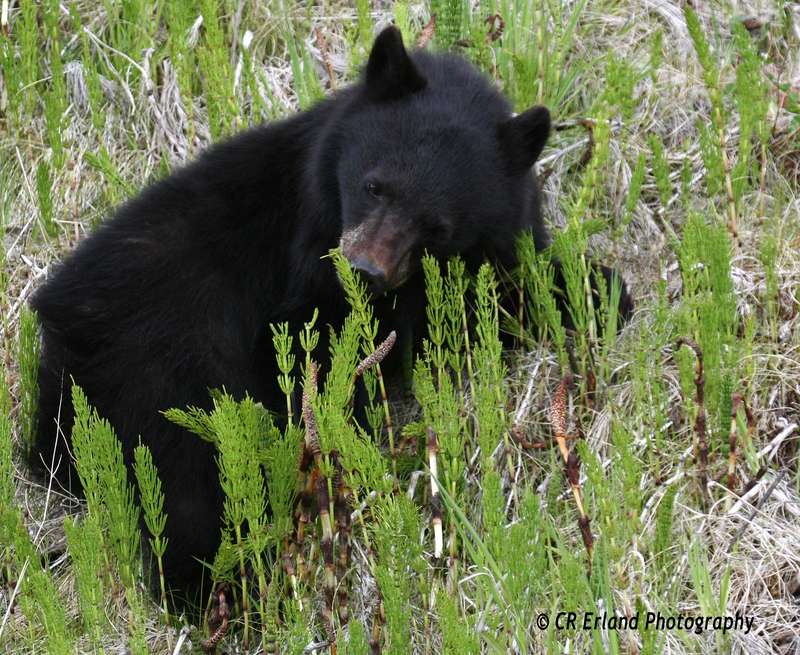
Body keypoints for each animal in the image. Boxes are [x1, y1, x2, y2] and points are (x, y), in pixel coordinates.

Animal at [29, 25, 632, 600]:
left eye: (436, 226)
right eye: (373, 185)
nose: (364, 269)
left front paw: (597, 291)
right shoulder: (304, 252)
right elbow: (310, 342)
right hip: (166, 368)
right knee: (189, 482)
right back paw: (225, 585)